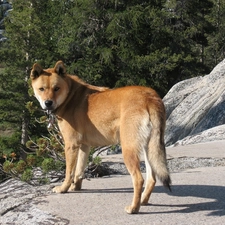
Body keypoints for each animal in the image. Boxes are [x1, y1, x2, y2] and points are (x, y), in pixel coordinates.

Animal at [29, 60, 171, 214]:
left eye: (56, 88)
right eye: (42, 89)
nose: (48, 103)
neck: (70, 96)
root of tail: (149, 97)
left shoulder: (71, 145)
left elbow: (69, 172)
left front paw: (63, 188)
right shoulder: (84, 146)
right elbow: (79, 171)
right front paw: (75, 187)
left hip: (128, 149)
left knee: (139, 179)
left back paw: (134, 208)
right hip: (148, 148)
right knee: (152, 179)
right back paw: (143, 201)